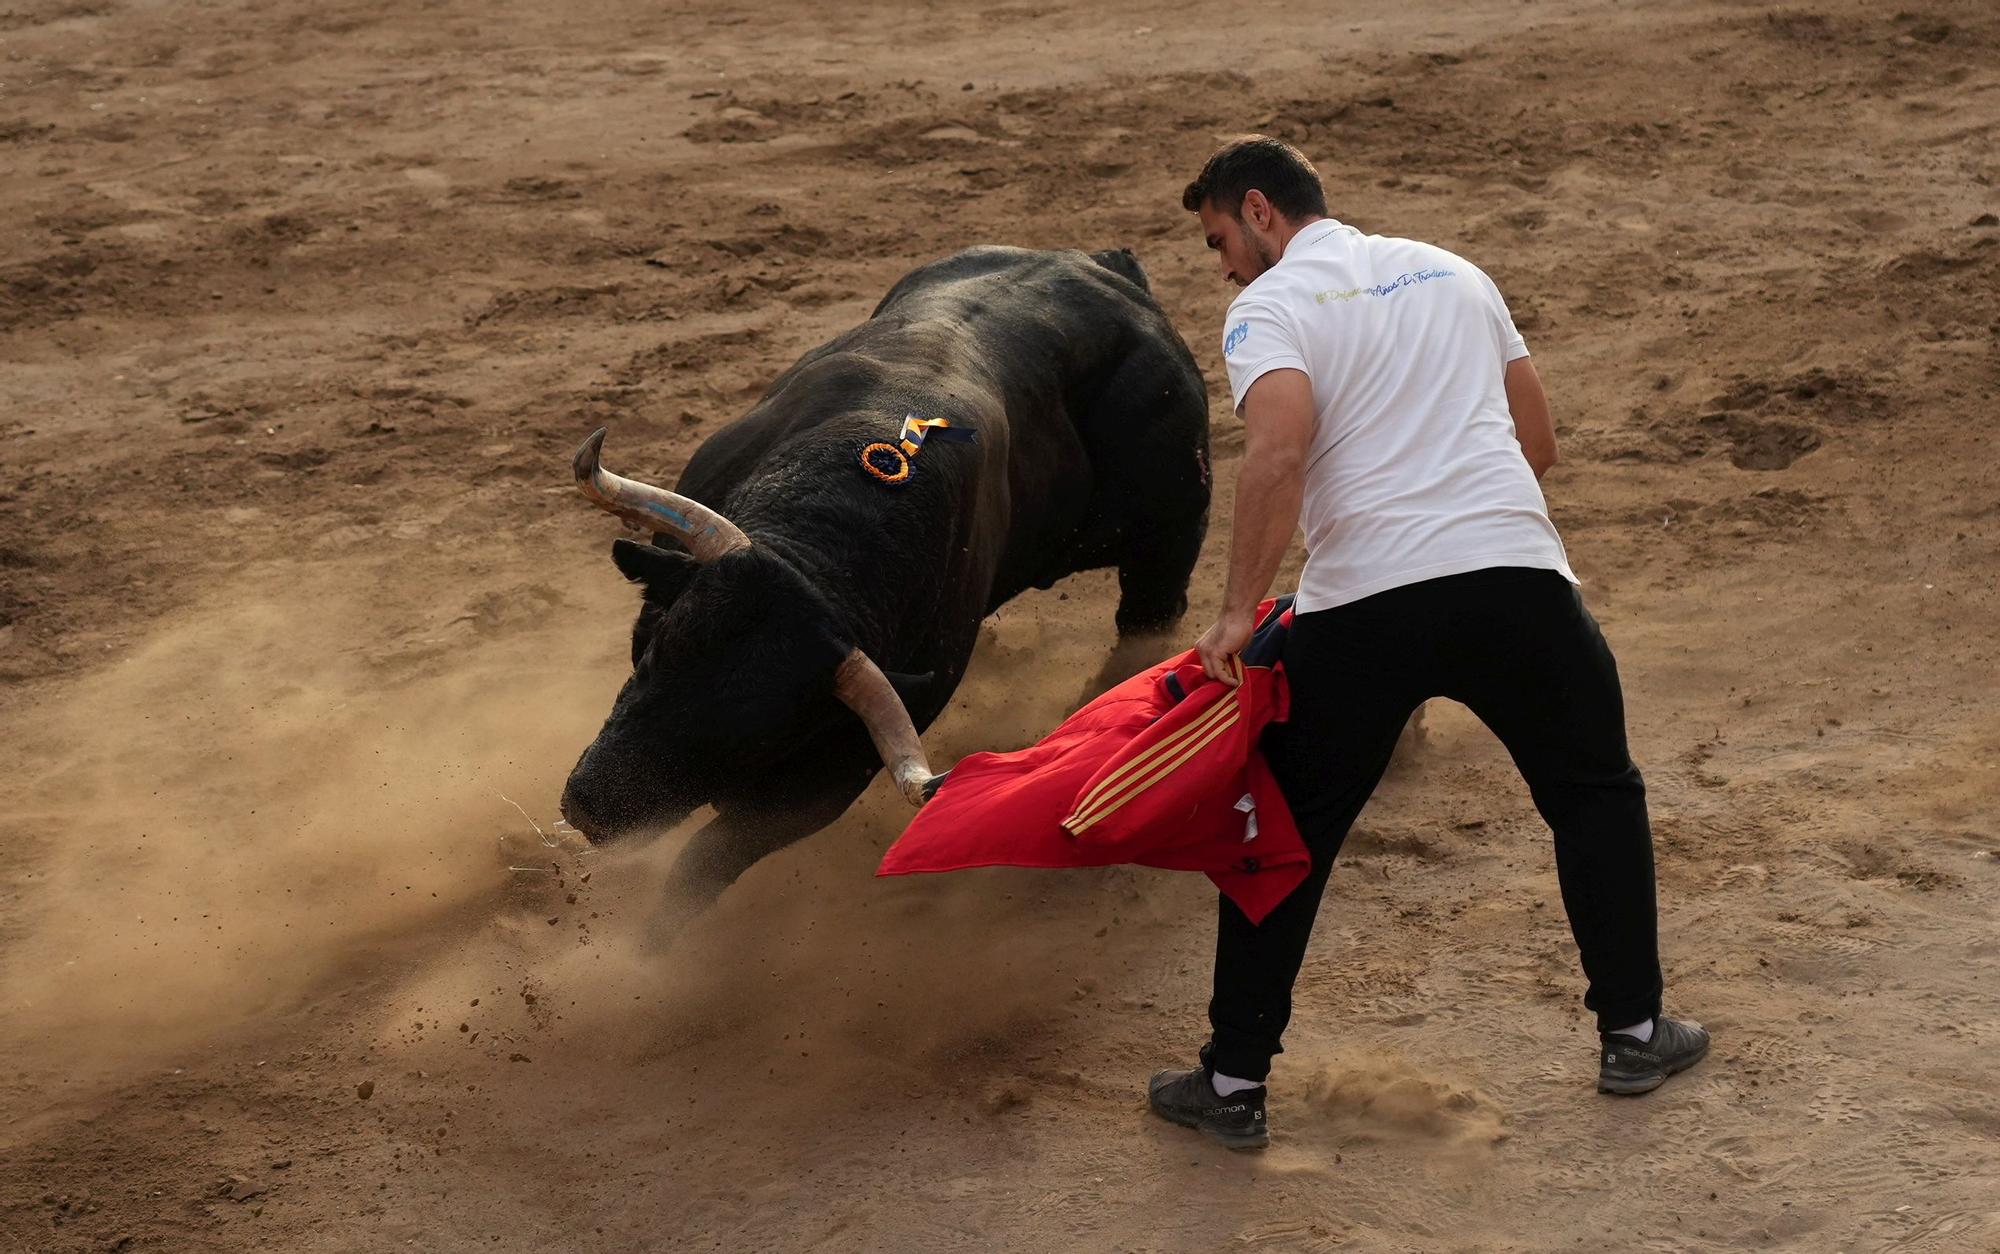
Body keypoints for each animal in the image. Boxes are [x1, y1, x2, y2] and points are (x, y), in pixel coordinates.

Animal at [556, 245, 1208, 912]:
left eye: (758, 734)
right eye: (659, 650)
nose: (589, 810)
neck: (831, 525)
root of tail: (1109, 269)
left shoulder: (833, 774)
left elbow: (703, 864)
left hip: (1172, 538)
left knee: (1145, 624)